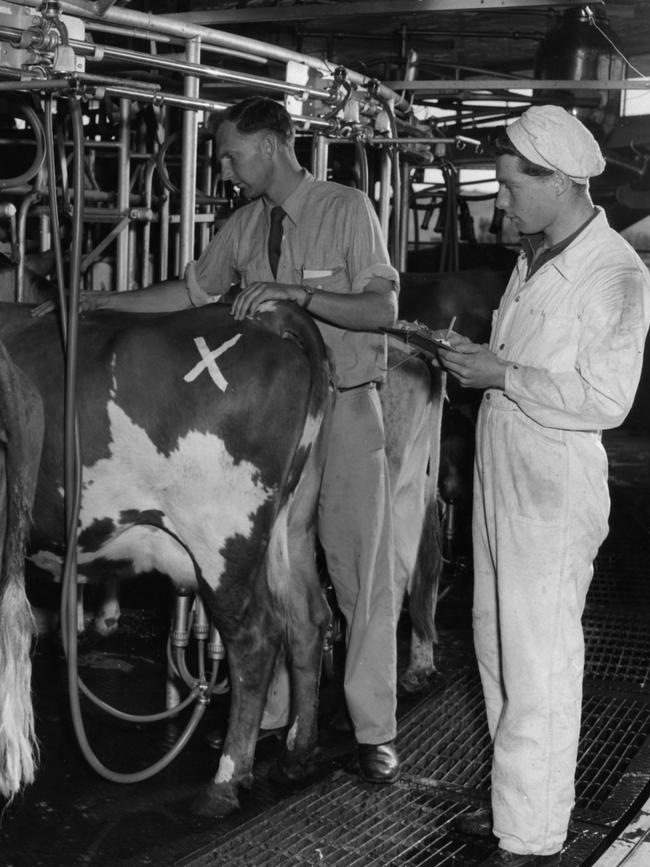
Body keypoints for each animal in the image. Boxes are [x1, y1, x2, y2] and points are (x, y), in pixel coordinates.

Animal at [0, 296, 334, 812]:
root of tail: (266, 317)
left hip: (220, 538)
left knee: (256, 638)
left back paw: (226, 781)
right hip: (294, 524)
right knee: (307, 618)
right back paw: (297, 755)